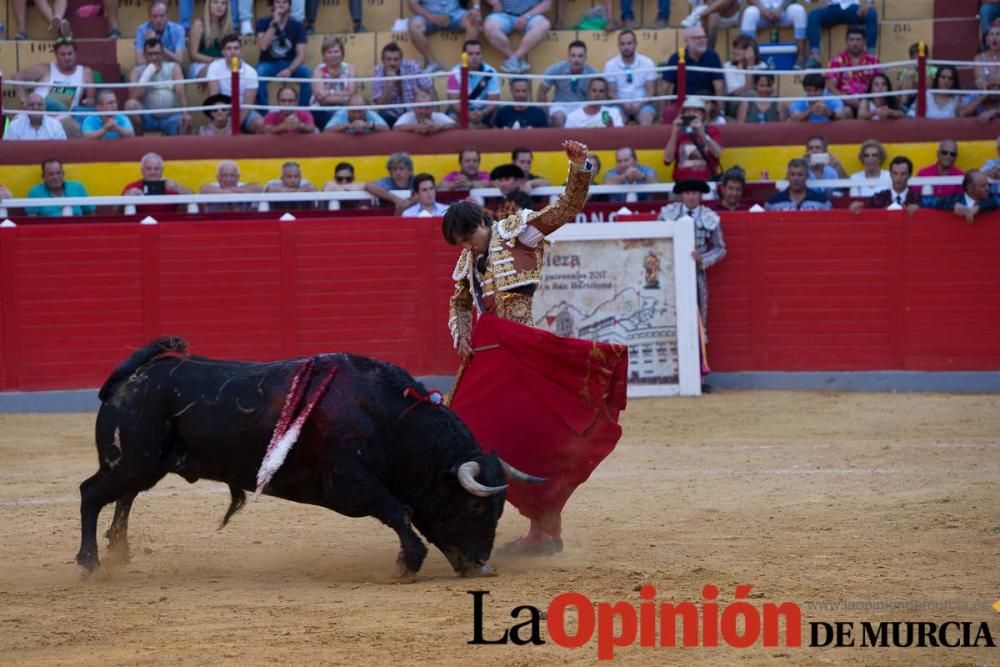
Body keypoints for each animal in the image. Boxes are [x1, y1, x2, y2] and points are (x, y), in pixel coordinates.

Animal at [75, 340, 540, 580]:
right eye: (476, 506)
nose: (481, 566)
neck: (387, 417)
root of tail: (134, 376)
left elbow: (401, 509)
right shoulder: (350, 482)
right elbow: (398, 509)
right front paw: (408, 562)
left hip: (143, 464)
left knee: (124, 498)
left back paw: (119, 554)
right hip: (130, 461)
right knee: (91, 493)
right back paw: (90, 563)